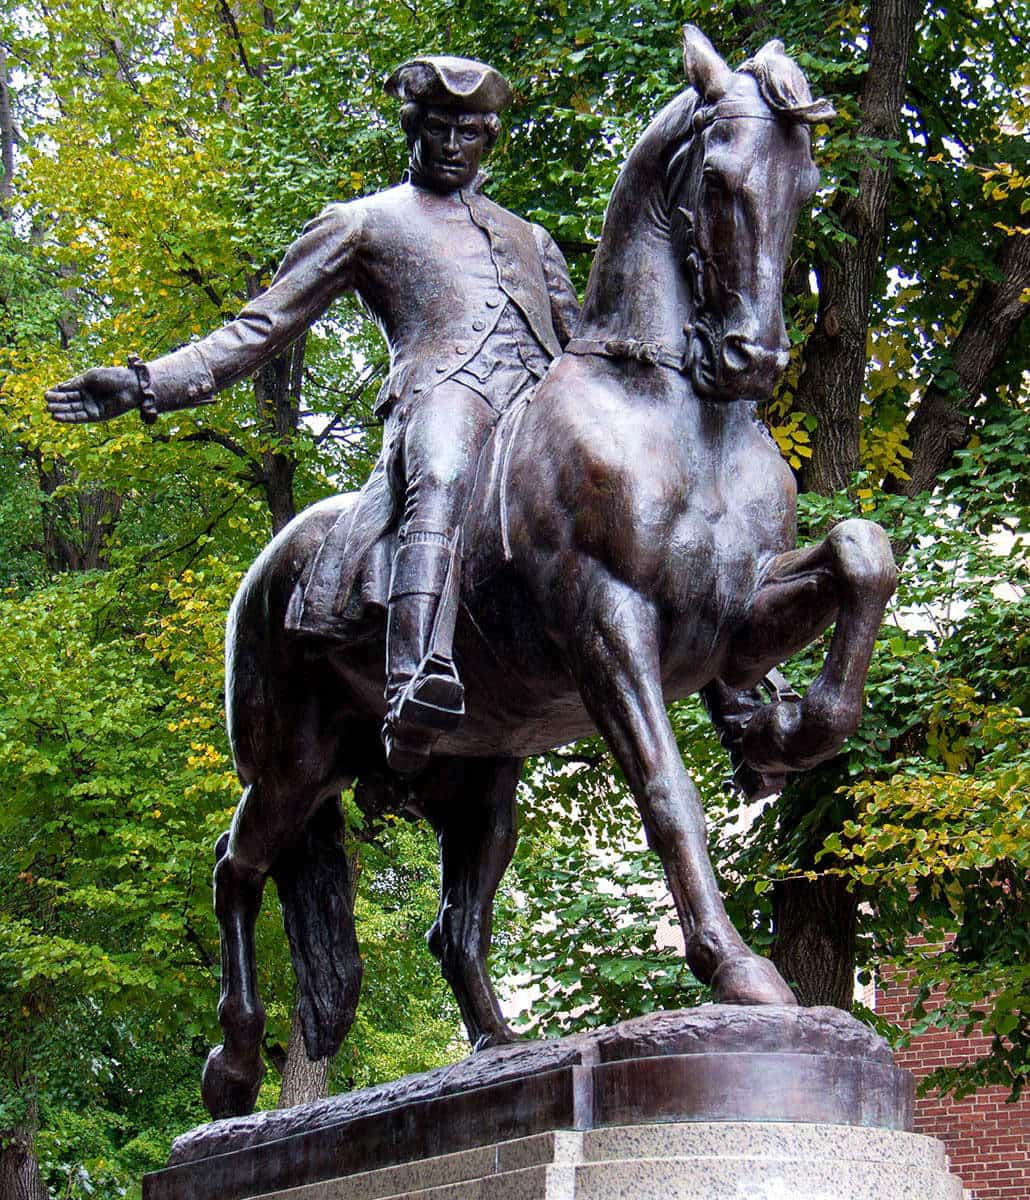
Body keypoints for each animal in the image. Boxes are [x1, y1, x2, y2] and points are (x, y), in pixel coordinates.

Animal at [200, 25, 893, 1113]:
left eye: (808, 183)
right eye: (721, 178)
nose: (751, 358)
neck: (669, 409)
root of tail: (267, 572)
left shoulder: (732, 612)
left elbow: (863, 553)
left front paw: (789, 730)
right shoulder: (606, 625)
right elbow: (667, 795)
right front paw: (739, 969)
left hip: (478, 784)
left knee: (451, 928)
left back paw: (497, 1048)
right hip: (294, 763)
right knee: (236, 867)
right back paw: (231, 1067)